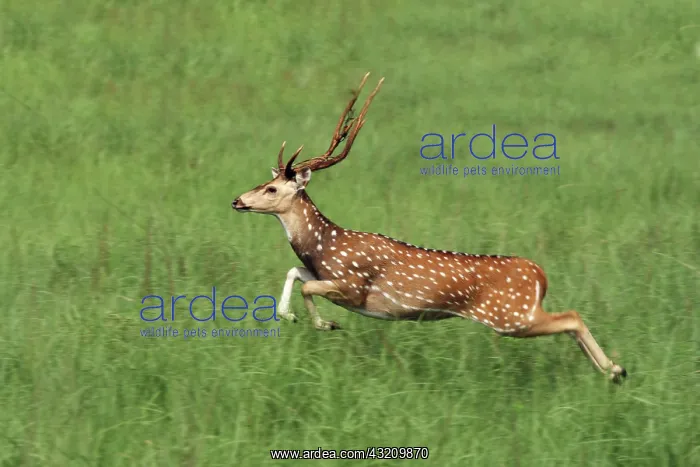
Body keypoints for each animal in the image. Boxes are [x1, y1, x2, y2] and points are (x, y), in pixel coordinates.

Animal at [232, 72, 628, 384]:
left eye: (271, 189)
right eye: (263, 183)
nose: (237, 200)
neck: (324, 245)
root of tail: (540, 274)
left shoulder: (354, 286)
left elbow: (307, 285)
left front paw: (325, 324)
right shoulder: (322, 272)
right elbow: (294, 273)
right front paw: (289, 315)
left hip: (510, 316)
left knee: (571, 316)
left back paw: (616, 370)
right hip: (517, 315)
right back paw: (613, 372)